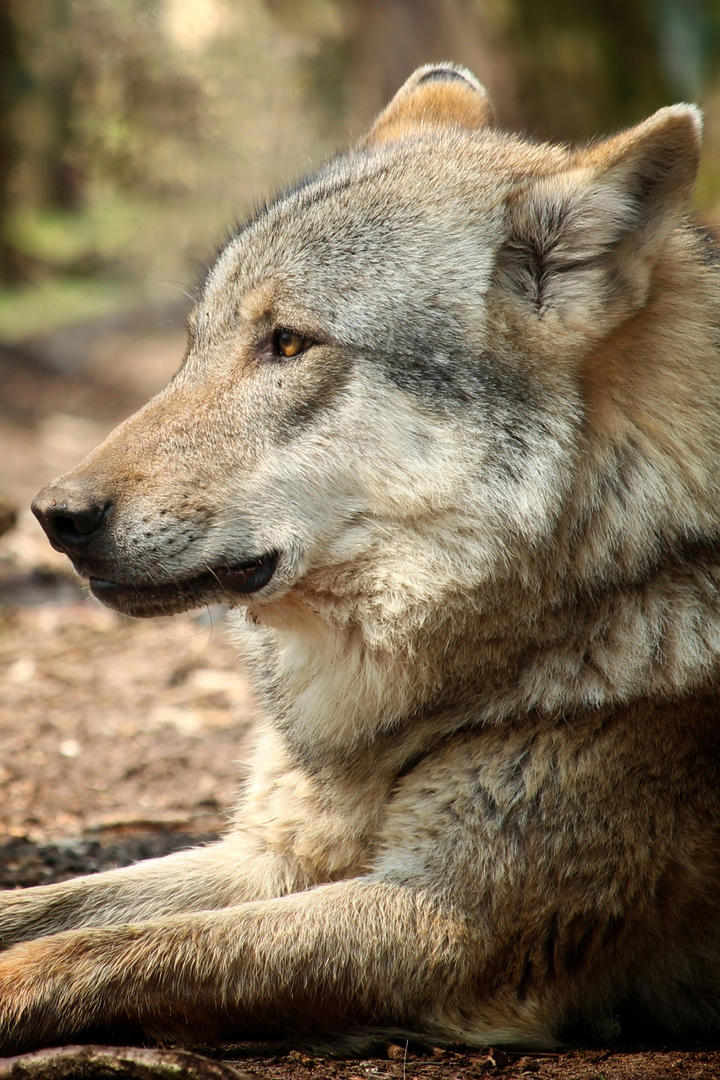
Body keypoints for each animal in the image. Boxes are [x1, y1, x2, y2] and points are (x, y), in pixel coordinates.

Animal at [1, 63, 720, 1049]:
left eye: (288, 343)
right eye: (195, 345)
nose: (53, 515)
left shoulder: (455, 921)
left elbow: (94, 953)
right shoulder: (267, 854)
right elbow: (48, 912)